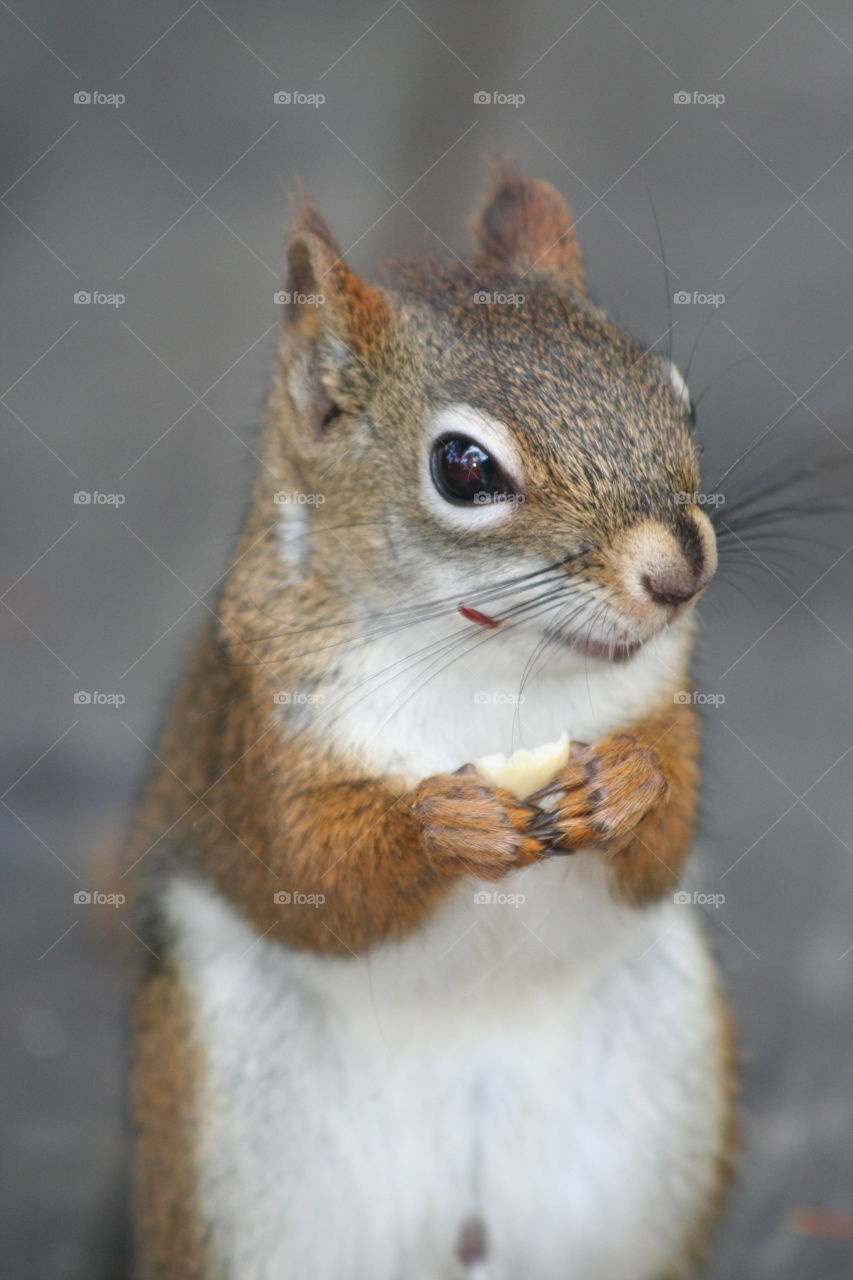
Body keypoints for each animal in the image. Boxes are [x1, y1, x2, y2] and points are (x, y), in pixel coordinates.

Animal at [128, 160, 737, 1280]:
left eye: (674, 395)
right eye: (463, 467)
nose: (680, 571)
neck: (490, 665)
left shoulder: (657, 703)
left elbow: (662, 843)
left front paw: (626, 785)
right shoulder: (262, 737)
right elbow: (312, 877)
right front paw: (443, 823)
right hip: (241, 1148)